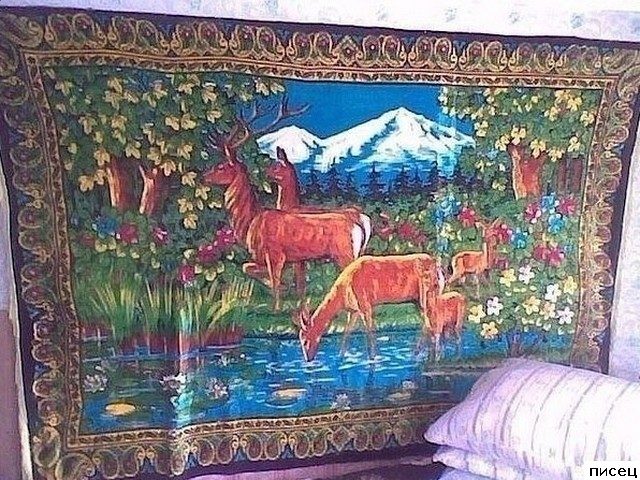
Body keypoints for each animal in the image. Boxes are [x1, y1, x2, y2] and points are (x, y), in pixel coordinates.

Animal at [266, 146, 372, 296]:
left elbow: (299, 281)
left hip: (346, 253)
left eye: (277, 166)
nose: (266, 174)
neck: (292, 207)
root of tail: (361, 218)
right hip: (359, 251)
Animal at [295, 253, 441, 362]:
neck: (343, 293)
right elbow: (347, 332)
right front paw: (340, 356)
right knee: (429, 321)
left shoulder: (365, 304)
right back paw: (420, 353)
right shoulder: (354, 310)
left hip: (427, 295)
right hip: (419, 300)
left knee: (431, 321)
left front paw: (373, 358)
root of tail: (438, 267)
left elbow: (369, 332)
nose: (308, 359)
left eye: (305, 340)